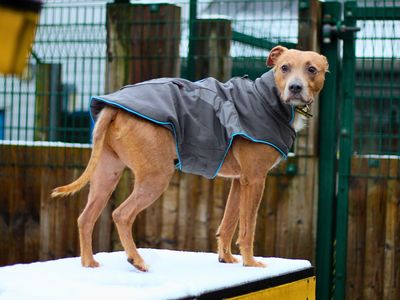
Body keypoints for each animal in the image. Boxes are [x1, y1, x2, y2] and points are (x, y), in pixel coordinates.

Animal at [52, 45, 328, 272]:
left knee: (85, 217)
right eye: (284, 68)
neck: (267, 98)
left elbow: (228, 223)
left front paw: (226, 259)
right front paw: (250, 263)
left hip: (106, 175)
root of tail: (114, 107)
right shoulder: (255, 180)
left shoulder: (240, 182)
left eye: (311, 69)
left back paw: (89, 263)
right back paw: (137, 260)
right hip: (156, 177)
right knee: (121, 214)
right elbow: (248, 226)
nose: (295, 87)